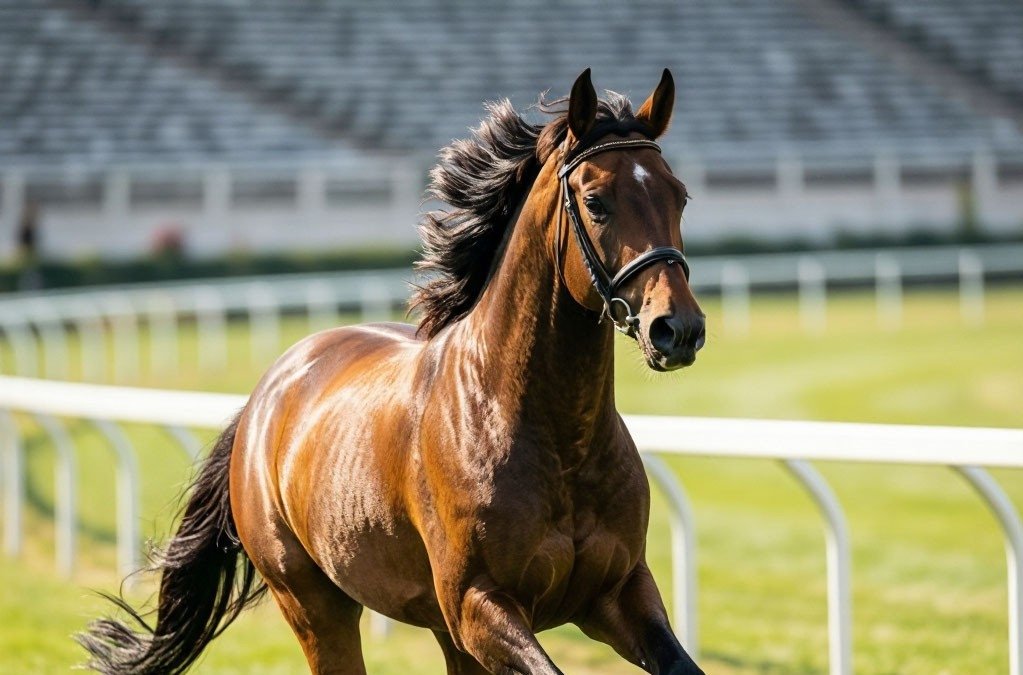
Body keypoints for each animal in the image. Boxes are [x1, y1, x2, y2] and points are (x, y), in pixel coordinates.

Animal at [79, 68, 706, 675]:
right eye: (596, 201)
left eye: (679, 196)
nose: (677, 328)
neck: (550, 433)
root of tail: (263, 398)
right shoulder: (479, 605)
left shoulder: (618, 591)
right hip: (311, 602)